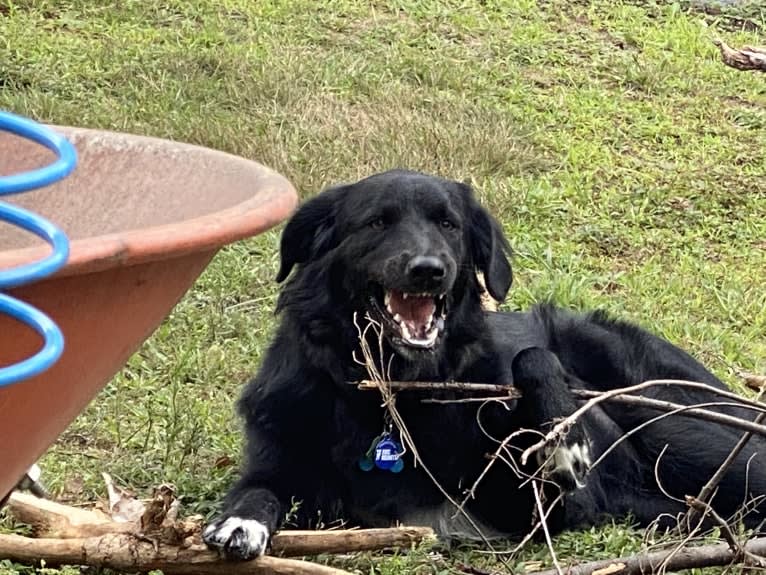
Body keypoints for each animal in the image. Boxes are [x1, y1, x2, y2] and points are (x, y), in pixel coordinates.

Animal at [204, 170, 766, 560]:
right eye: (377, 222)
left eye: (448, 224)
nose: (429, 271)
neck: (399, 392)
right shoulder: (280, 455)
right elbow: (256, 491)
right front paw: (239, 522)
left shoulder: (548, 509)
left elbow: (532, 356)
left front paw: (563, 439)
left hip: (691, 437)